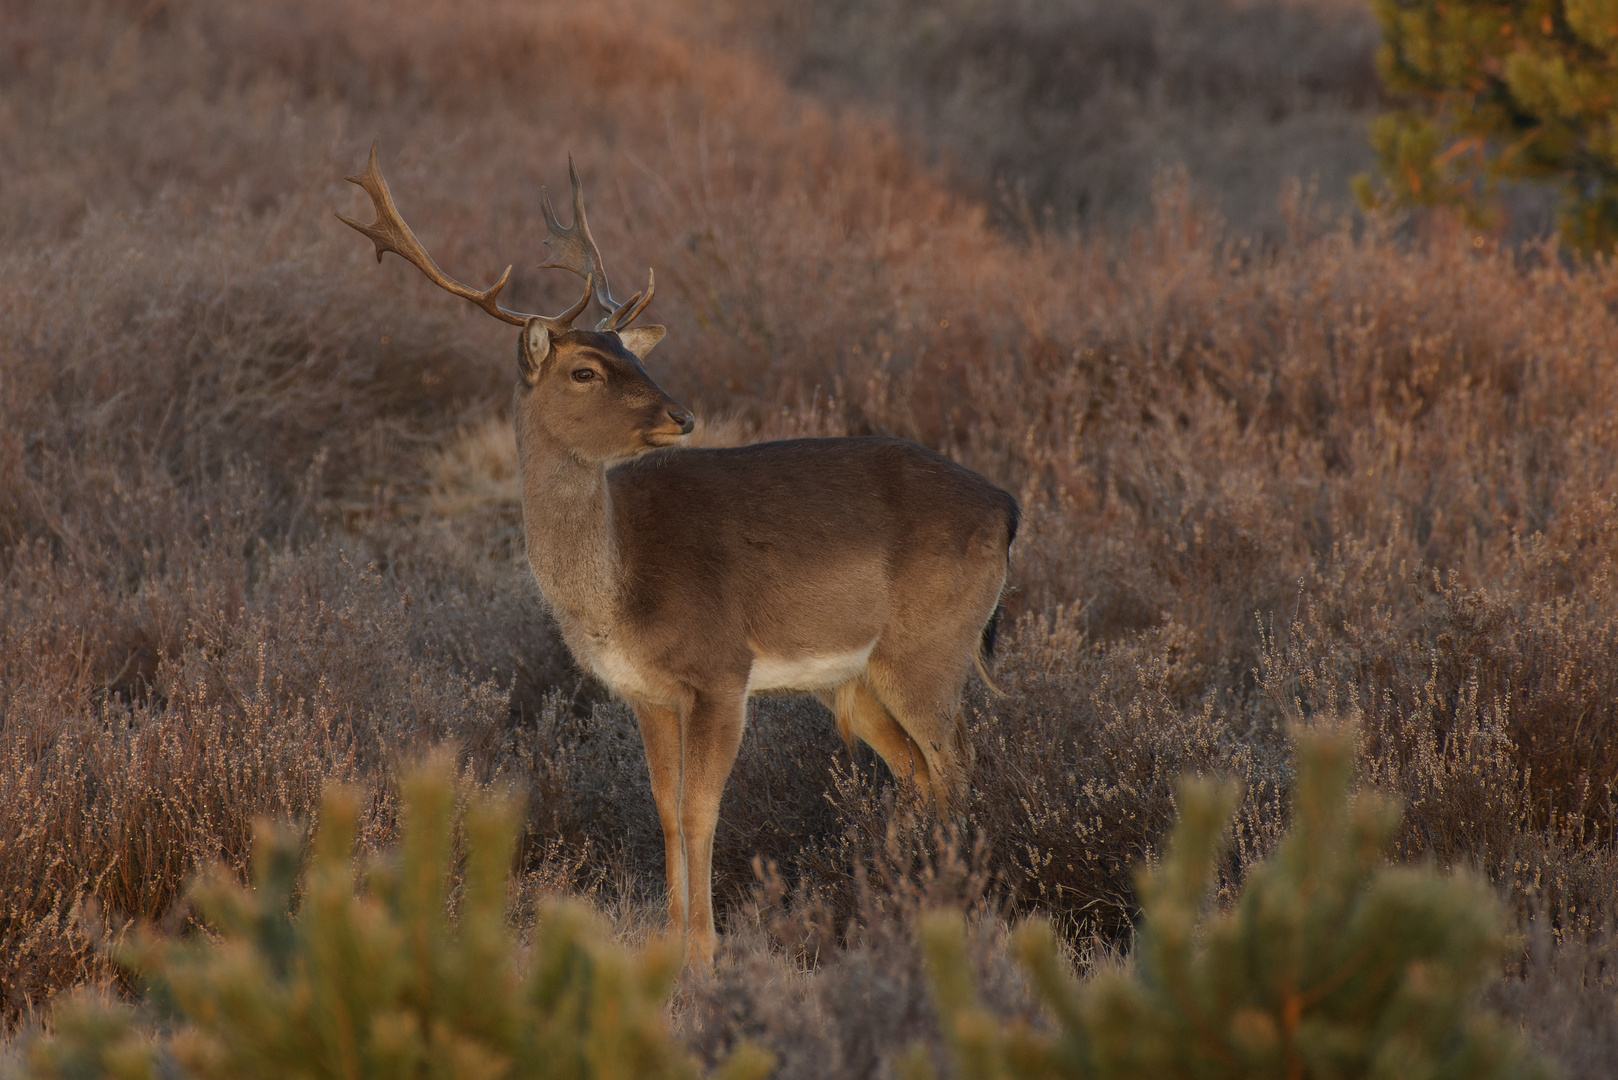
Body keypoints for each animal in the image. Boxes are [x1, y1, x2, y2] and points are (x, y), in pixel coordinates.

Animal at [339, 143, 1016, 965]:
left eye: (632, 355)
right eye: (586, 369)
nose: (682, 415)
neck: (618, 591)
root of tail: (1007, 509)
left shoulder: (721, 669)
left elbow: (701, 809)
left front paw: (704, 951)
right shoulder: (645, 692)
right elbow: (663, 807)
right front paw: (669, 940)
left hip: (930, 649)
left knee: (958, 767)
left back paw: (963, 906)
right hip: (857, 680)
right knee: (920, 774)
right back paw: (909, 900)